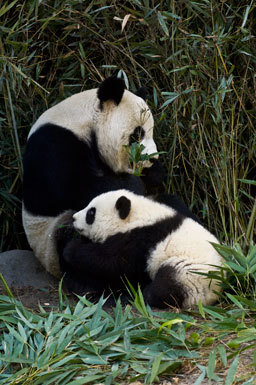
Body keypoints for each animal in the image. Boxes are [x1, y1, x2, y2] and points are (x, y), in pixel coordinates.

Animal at [22, 76, 162, 284]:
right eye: (138, 133)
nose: (152, 158)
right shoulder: (53, 144)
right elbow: (79, 189)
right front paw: (134, 184)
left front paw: (154, 172)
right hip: (50, 241)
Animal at [64, 188, 224, 308]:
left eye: (91, 213)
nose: (73, 218)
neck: (136, 216)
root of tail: (215, 293)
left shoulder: (140, 239)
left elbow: (110, 262)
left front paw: (71, 248)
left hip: (193, 273)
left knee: (167, 283)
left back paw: (141, 294)